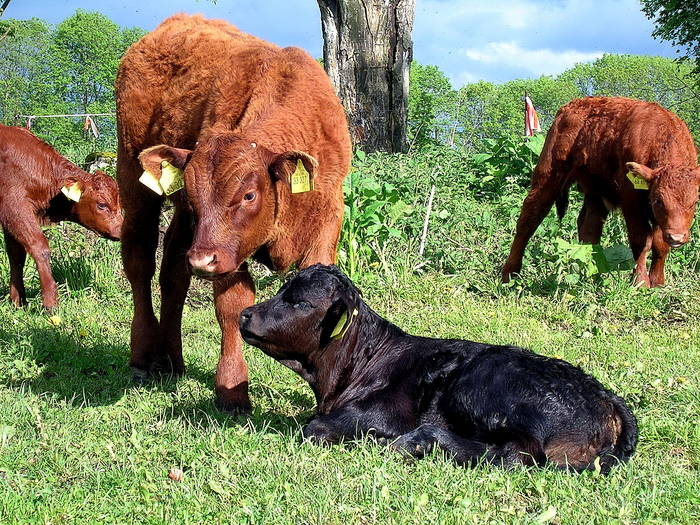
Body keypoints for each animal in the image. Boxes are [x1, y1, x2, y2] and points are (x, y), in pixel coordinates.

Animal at [0, 124, 122, 310]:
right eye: (102, 205)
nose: (122, 230)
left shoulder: (9, 217)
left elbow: (16, 255)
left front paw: (18, 301)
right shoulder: (14, 206)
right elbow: (39, 247)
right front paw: (51, 303)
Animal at [117, 14, 352, 412]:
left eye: (249, 194)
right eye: (194, 193)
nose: (202, 260)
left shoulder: (328, 219)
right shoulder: (226, 253)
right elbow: (232, 306)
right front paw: (232, 390)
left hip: (186, 228)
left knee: (173, 274)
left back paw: (171, 359)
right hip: (135, 180)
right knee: (140, 262)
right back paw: (144, 356)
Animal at [242, 266, 640, 470]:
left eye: (299, 302)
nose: (245, 313)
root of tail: (604, 394)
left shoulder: (386, 414)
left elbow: (315, 429)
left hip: (479, 386)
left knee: (515, 454)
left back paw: (416, 442)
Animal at [504, 97, 700, 286]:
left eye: (694, 202)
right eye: (658, 200)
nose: (677, 237)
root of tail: (569, 107)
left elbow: (660, 245)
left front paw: (658, 282)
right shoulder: (632, 201)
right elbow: (641, 240)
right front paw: (640, 282)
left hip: (595, 191)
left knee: (589, 228)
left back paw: (593, 275)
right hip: (548, 176)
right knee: (529, 219)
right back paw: (508, 274)